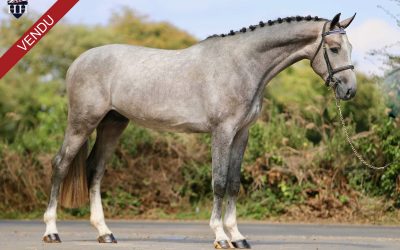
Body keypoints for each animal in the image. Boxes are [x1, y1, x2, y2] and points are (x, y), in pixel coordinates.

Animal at [43, 13, 356, 248]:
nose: (350, 91)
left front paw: (238, 236)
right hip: (82, 122)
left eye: (350, 47)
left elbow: (234, 183)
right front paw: (220, 236)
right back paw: (51, 231)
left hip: (113, 123)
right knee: (61, 165)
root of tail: (78, 61)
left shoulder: (241, 134)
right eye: (334, 48)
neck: (241, 65)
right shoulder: (222, 132)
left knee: (95, 170)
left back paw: (105, 233)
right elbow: (219, 182)